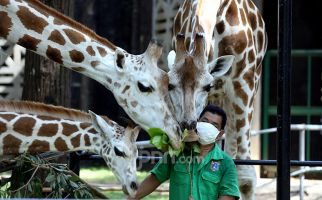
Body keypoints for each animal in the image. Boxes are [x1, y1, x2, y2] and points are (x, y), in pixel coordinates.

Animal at [167, 0, 268, 199]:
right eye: (171, 85)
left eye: (207, 86)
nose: (187, 125)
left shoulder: (243, 84)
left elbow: (245, 177)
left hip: (247, 85)